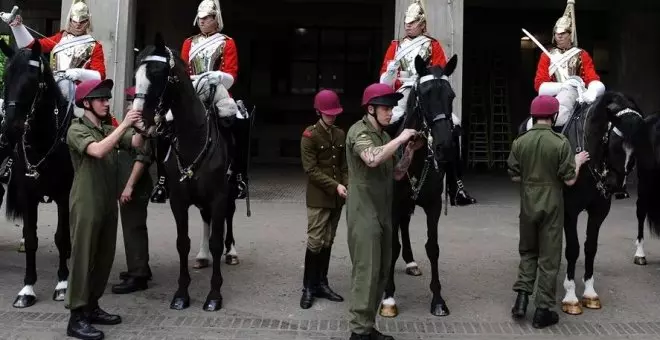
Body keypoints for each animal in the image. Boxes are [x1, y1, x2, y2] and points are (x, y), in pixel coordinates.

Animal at [0, 39, 73, 308]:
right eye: (6, 77)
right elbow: (31, 238)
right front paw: (27, 289)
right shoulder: (28, 195)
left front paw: (62, 284)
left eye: (33, 80)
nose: (10, 128)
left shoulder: (64, 195)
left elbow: (62, 238)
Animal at [131, 34, 229, 310]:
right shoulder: (179, 200)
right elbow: (182, 243)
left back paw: (232, 253)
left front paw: (214, 295)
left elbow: (217, 242)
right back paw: (202, 256)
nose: (138, 120)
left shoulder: (219, 198)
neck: (193, 137)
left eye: (157, 73)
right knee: (205, 221)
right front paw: (181, 294)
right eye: (135, 75)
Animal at [376, 54, 458, 318]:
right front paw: (388, 297)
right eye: (424, 94)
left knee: (405, 224)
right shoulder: (393, 204)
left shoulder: (432, 206)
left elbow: (433, 247)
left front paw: (438, 299)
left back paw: (411, 262)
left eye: (451, 96)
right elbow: (392, 245)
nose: (444, 147)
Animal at [520, 91, 640, 316]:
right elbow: (573, 248)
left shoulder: (599, 211)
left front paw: (590, 293)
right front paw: (570, 296)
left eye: (638, 147)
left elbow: (590, 247)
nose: (617, 188)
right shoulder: (569, 211)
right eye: (615, 143)